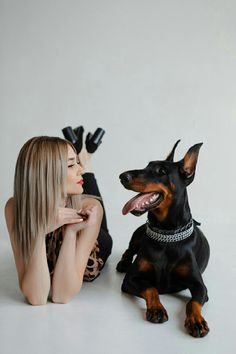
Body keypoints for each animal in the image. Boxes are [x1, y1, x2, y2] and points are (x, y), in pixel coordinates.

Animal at [117, 140, 209, 338]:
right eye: (146, 166)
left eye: (161, 171)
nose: (122, 176)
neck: (167, 236)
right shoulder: (131, 279)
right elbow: (151, 288)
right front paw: (157, 309)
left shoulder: (199, 285)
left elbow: (193, 302)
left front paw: (196, 321)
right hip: (138, 235)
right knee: (129, 250)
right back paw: (123, 263)